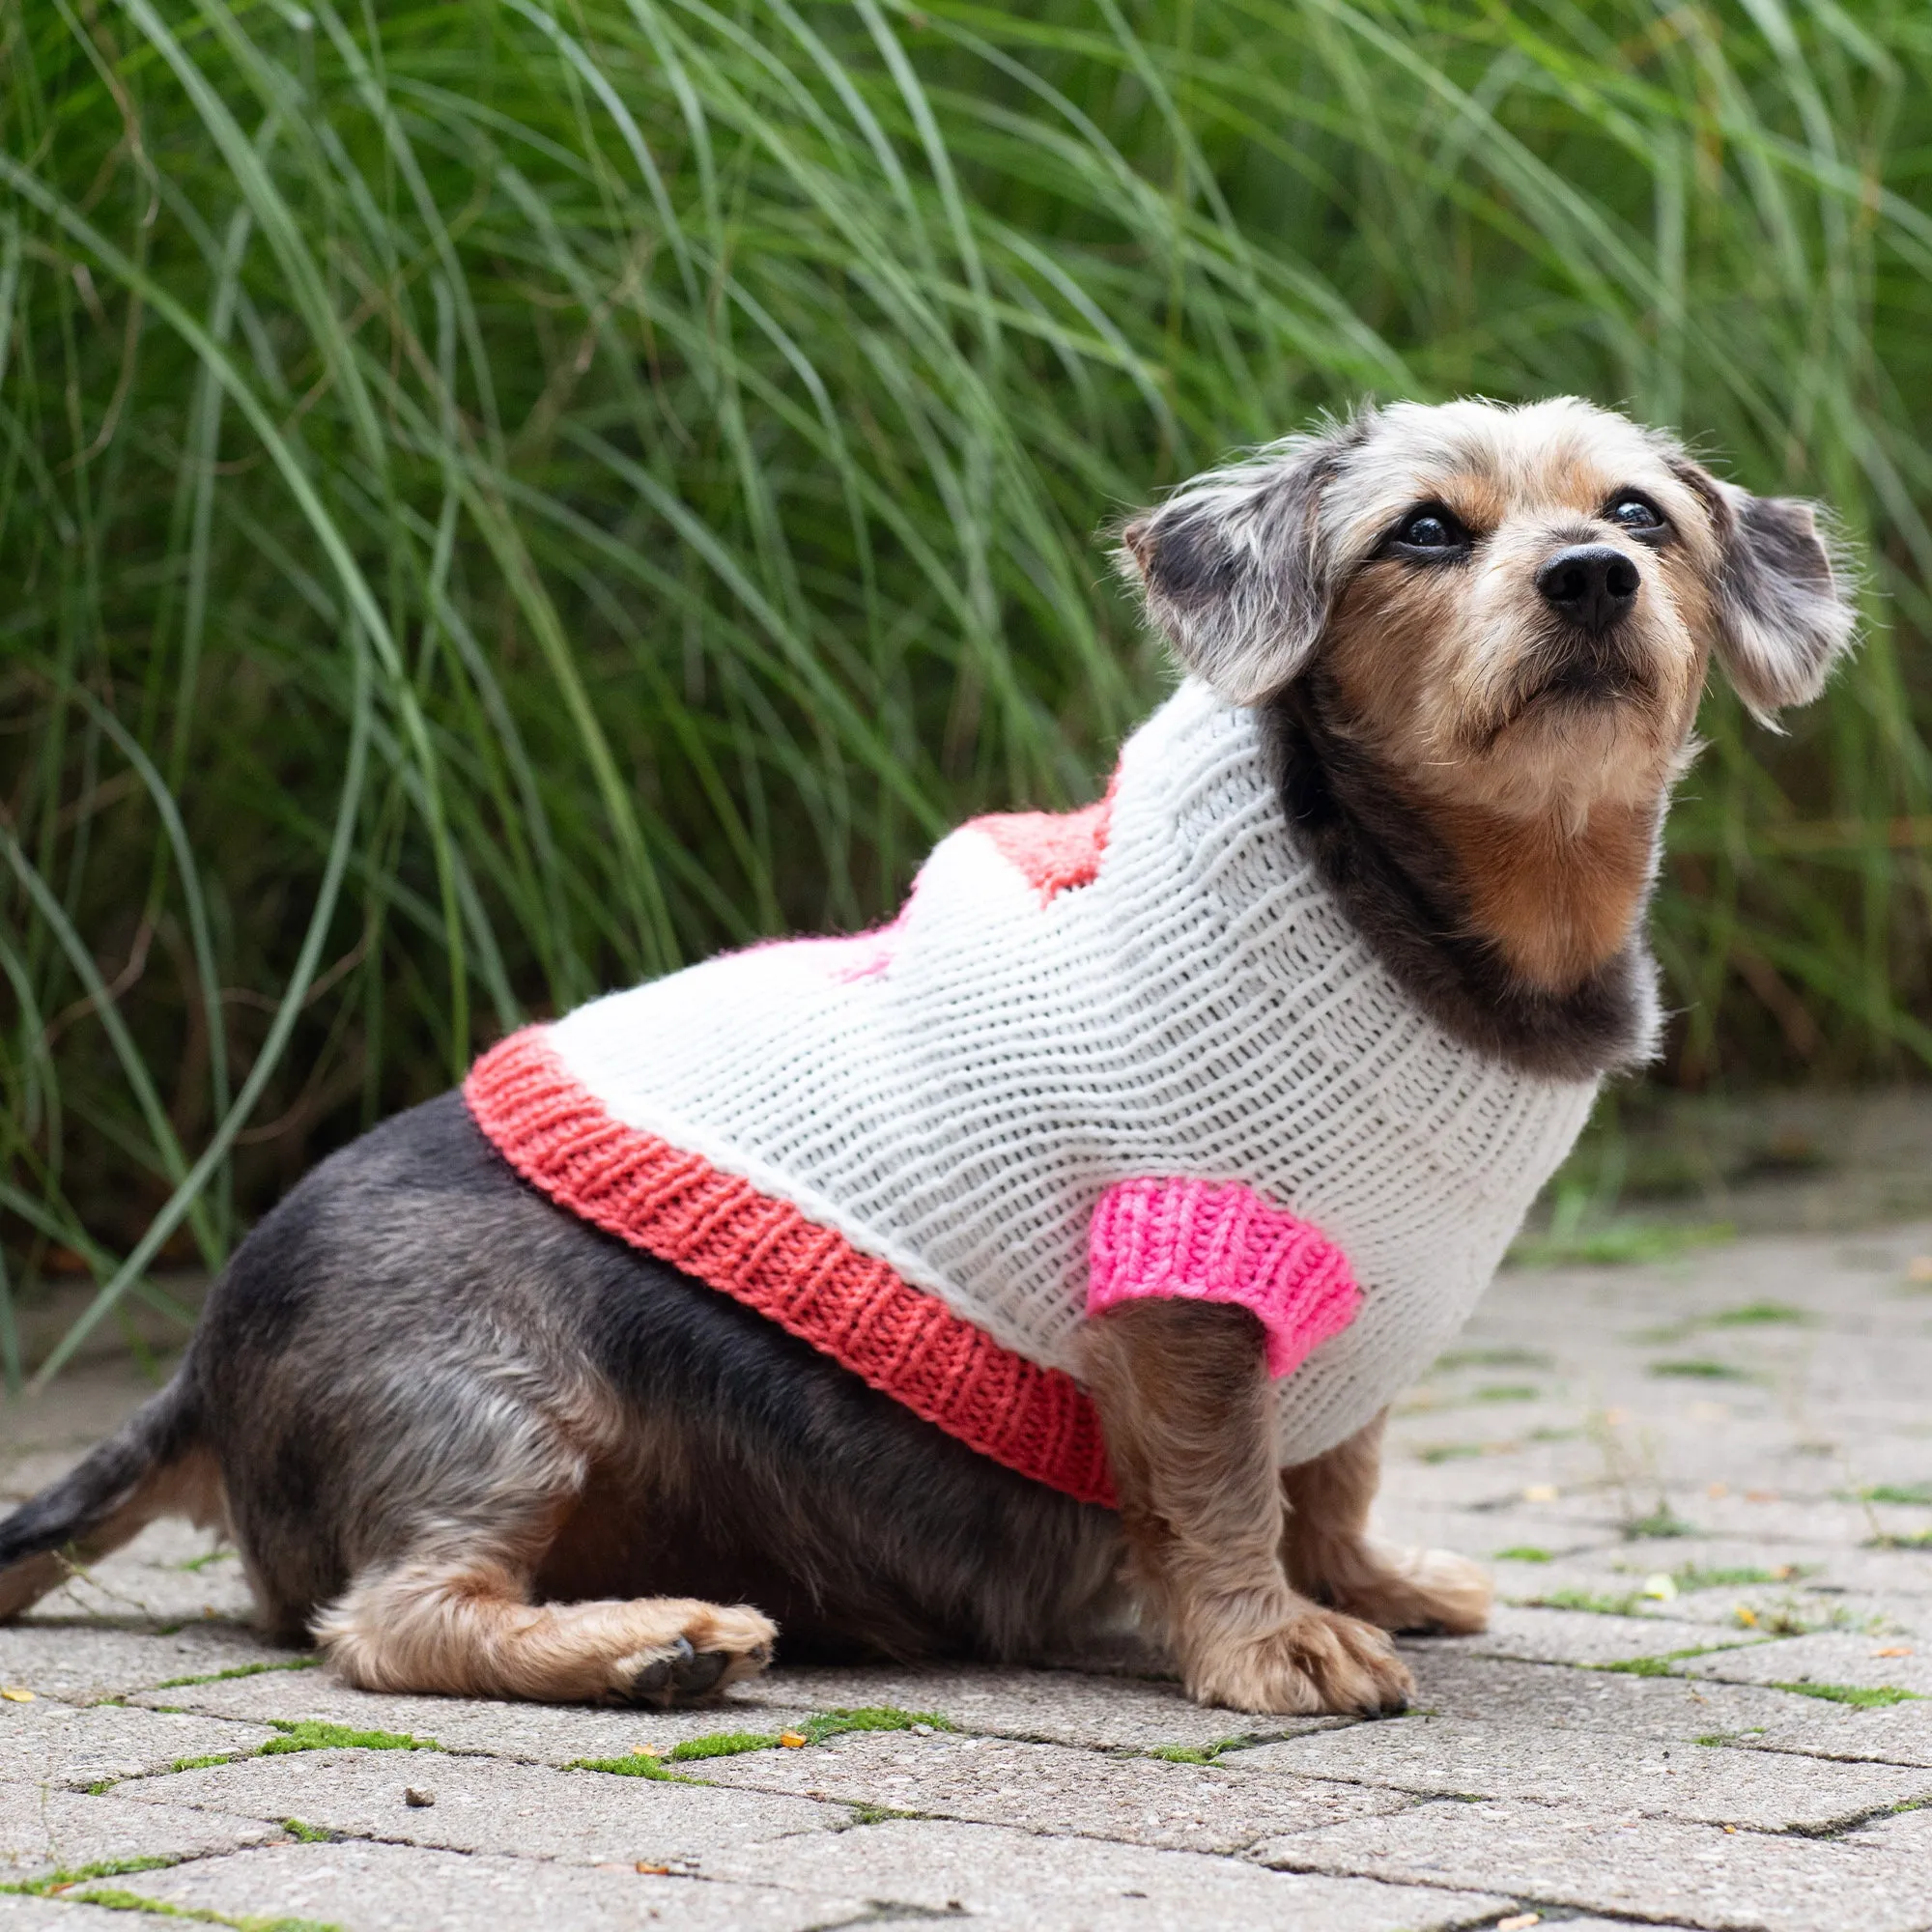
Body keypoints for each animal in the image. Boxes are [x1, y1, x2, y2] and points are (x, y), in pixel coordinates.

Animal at [0, 400, 1847, 1716]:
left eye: (1639, 513)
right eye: (1423, 531)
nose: (1590, 576)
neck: (1402, 911)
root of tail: (205, 1358)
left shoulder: (1349, 1304)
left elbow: (1334, 1467)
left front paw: (1362, 1581)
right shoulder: (1183, 1266)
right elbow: (1226, 1482)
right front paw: (1270, 1640)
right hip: (490, 1389)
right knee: (386, 1622)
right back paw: (646, 1643)